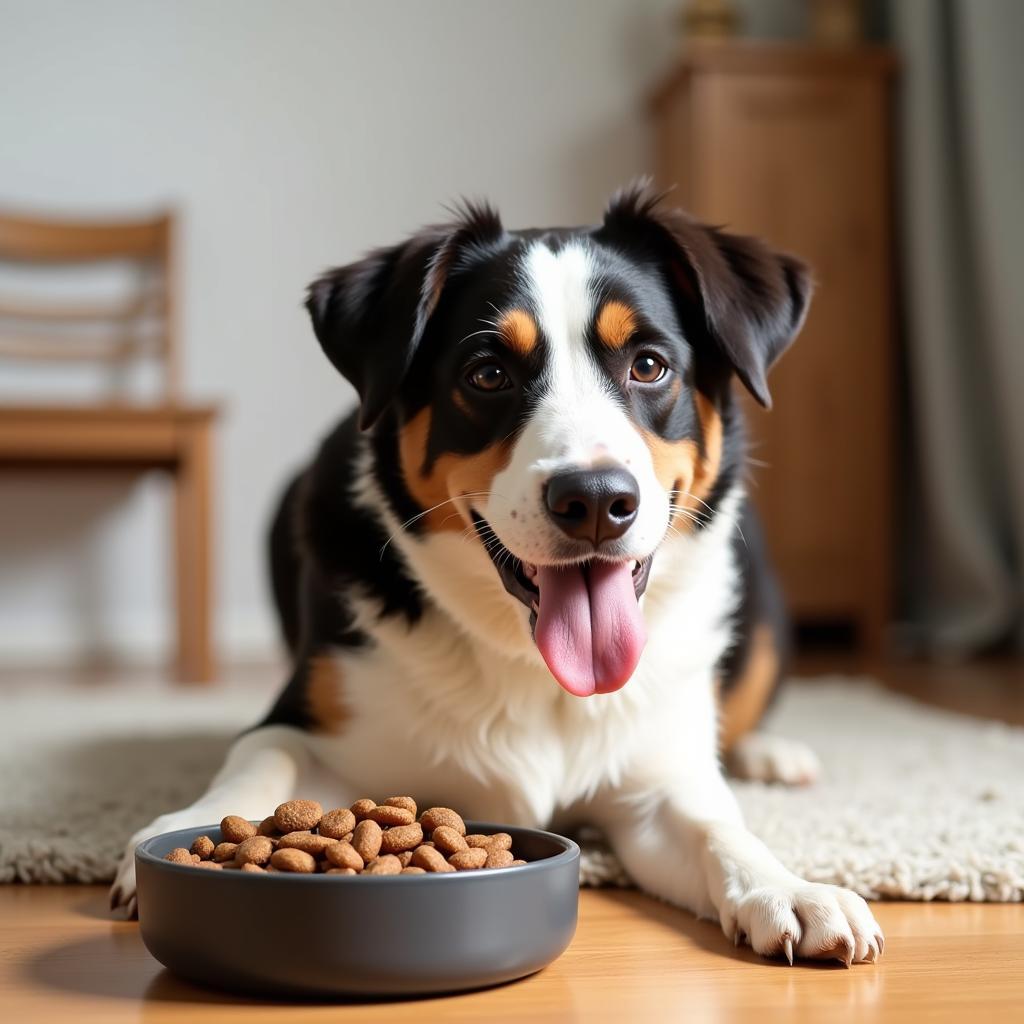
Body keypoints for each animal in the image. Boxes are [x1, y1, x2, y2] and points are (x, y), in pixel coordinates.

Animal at [110, 186, 880, 966]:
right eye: (488, 374)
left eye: (649, 365)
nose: (595, 500)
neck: (533, 664)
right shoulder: (312, 716)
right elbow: (263, 759)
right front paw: (181, 826)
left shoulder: (656, 783)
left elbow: (714, 826)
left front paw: (791, 888)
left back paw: (771, 753)